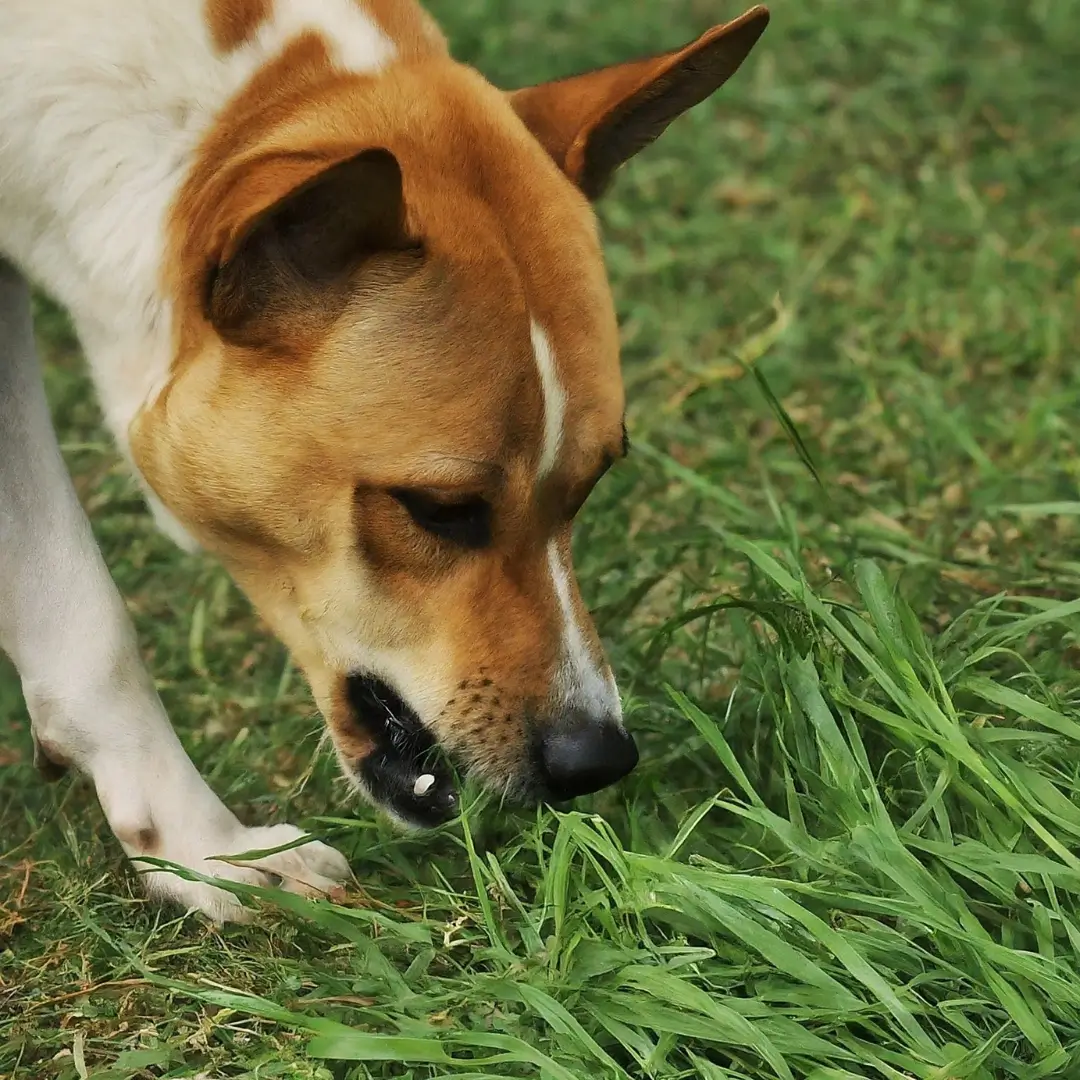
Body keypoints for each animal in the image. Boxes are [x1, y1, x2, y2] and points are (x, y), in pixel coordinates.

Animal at [0, 2, 768, 920]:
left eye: (591, 486)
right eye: (438, 510)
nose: (597, 761)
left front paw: (192, 849)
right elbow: (88, 620)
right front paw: (207, 848)